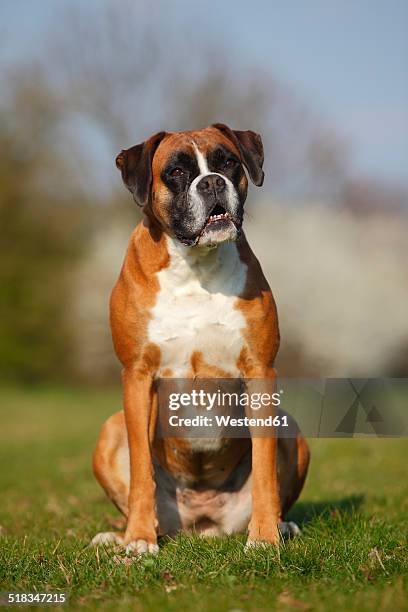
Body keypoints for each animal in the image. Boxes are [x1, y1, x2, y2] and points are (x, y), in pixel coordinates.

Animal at [91, 123, 310, 556]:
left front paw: (264, 538)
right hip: (110, 429)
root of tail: (202, 525)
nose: (212, 182)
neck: (195, 267)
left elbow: (264, 469)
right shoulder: (137, 375)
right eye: (176, 172)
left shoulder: (260, 372)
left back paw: (281, 526)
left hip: (292, 428)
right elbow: (141, 470)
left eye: (228, 162)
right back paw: (119, 536)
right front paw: (138, 541)